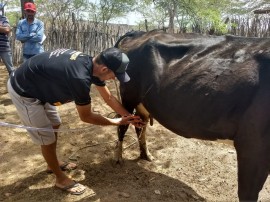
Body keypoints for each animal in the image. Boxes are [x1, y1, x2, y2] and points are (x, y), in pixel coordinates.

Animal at [114, 29, 270, 200]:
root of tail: (139, 33)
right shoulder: (253, 144)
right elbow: (247, 192)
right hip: (128, 96)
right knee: (123, 124)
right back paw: (119, 158)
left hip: (143, 102)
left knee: (140, 123)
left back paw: (146, 155)